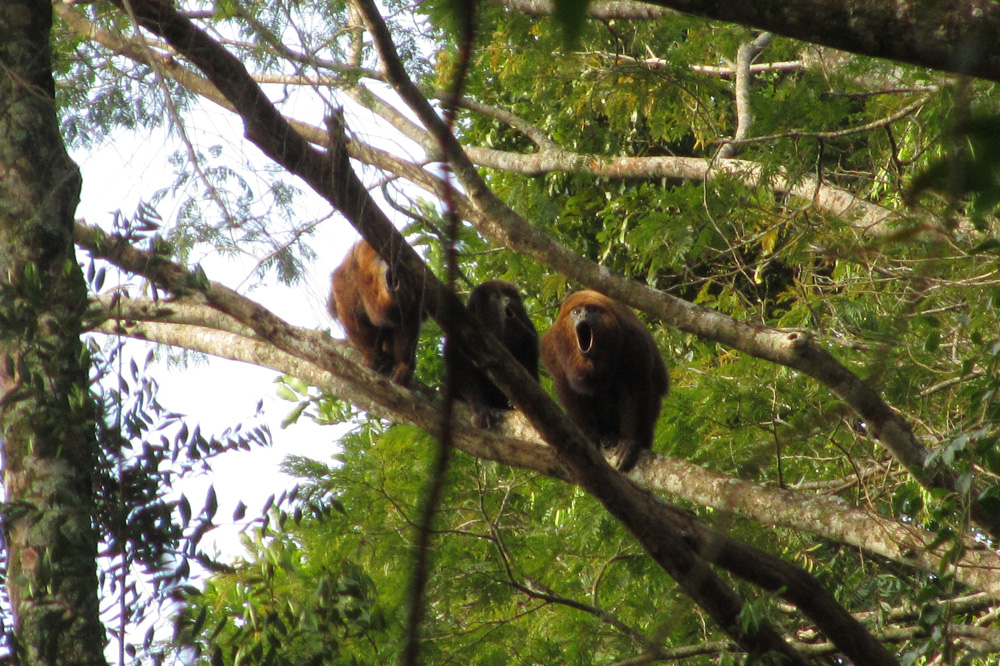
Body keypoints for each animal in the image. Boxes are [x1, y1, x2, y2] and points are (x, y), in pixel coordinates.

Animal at [328, 240, 424, 385]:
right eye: (381, 257)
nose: (392, 264)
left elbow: (408, 320)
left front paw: (403, 367)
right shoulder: (348, 282)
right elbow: (351, 314)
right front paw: (371, 355)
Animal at [445, 280, 540, 428]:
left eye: (510, 295)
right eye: (496, 296)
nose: (508, 300)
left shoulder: (529, 332)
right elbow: (459, 367)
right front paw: (480, 410)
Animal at [541, 290, 668, 472]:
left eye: (592, 310)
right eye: (576, 312)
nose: (584, 315)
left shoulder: (633, 337)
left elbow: (635, 386)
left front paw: (629, 443)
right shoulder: (552, 347)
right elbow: (567, 389)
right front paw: (589, 434)